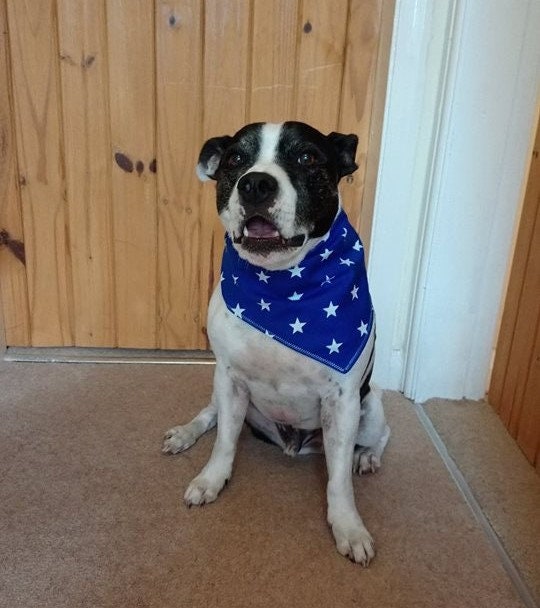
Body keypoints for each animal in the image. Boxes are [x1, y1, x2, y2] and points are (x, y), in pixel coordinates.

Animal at [163, 121, 390, 566]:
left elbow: (338, 479)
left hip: (368, 409)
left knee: (380, 436)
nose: (255, 184)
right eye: (235, 159)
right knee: (210, 415)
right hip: (226, 392)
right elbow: (224, 443)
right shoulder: (230, 379)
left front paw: (348, 526)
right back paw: (185, 433)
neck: (285, 286)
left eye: (307, 157)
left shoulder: (342, 400)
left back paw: (368, 457)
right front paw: (212, 479)